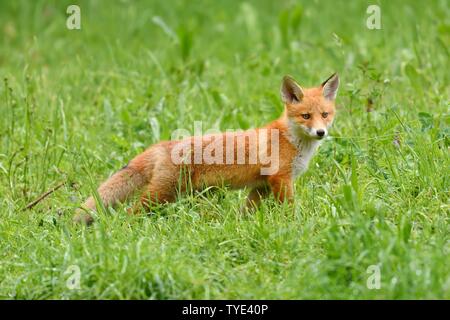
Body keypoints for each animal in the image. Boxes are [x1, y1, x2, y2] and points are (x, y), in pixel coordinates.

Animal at [74, 74, 340, 225]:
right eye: (306, 116)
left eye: (325, 114)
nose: (321, 133)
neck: (292, 141)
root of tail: (162, 145)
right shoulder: (281, 179)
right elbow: (290, 209)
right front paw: (295, 224)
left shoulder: (262, 186)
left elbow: (246, 211)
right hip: (161, 195)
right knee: (131, 212)